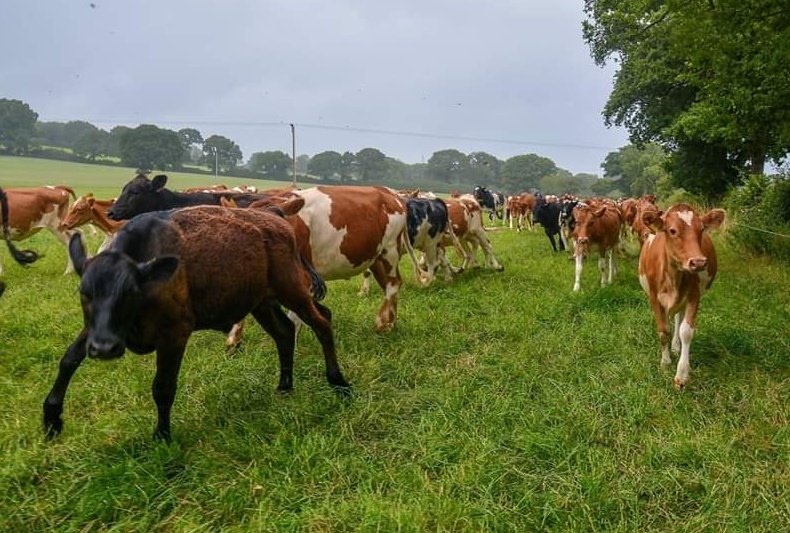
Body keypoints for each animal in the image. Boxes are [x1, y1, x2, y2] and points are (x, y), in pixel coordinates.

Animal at [42, 205, 350, 441]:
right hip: (262, 302)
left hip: (293, 292)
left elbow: (163, 387)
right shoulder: (96, 329)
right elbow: (68, 360)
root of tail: (277, 218)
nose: (104, 349)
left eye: (130, 292)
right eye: (84, 292)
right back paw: (285, 386)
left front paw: (162, 436)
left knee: (322, 323)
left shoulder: (175, 334)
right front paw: (51, 418)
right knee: (285, 333)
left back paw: (338, 382)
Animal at [638, 204, 725, 390]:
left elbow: (686, 331)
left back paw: (676, 346)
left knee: (678, 319)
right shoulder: (654, 298)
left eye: (701, 229)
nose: (698, 262)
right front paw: (665, 362)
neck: (673, 276)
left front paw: (682, 375)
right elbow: (664, 330)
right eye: (672, 230)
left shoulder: (694, 296)